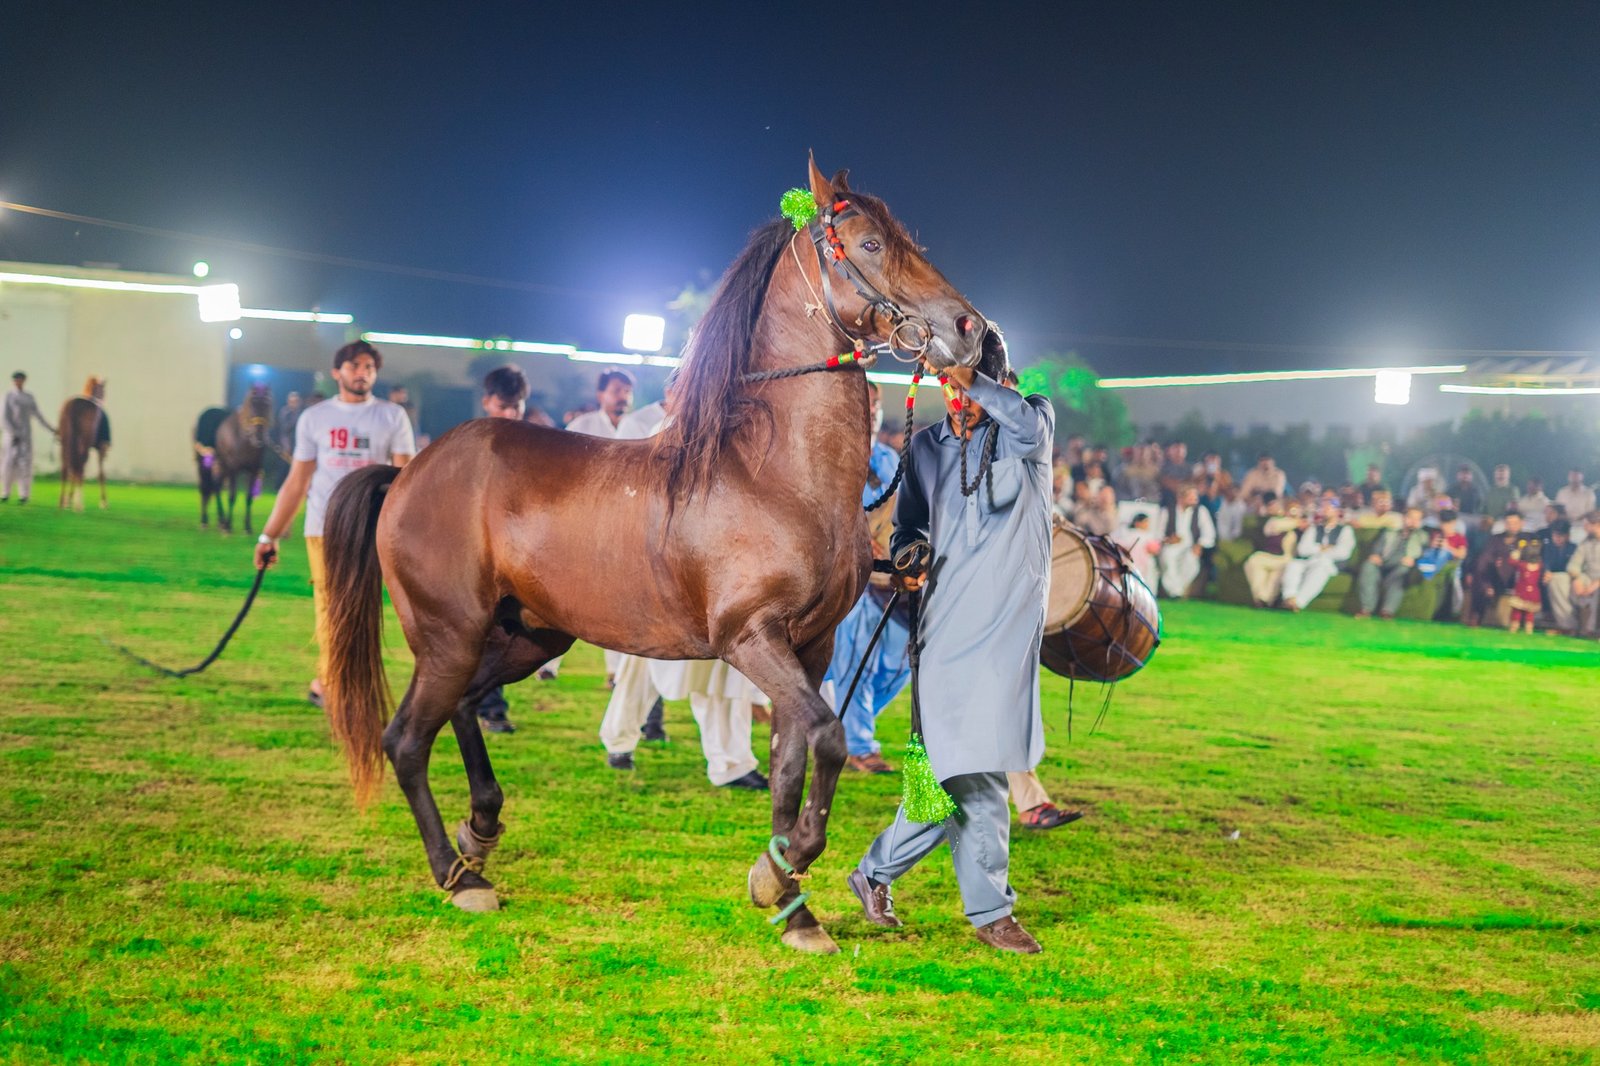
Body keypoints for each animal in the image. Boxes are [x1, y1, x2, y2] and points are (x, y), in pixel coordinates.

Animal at [58, 377, 110, 511]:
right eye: (104, 390)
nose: (103, 399)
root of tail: (73, 405)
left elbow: (74, 472)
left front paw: (69, 500)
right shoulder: (101, 449)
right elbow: (101, 474)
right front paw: (103, 502)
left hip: (65, 443)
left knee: (67, 469)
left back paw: (62, 503)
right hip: (83, 444)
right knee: (79, 468)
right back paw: (79, 505)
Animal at [194, 385, 273, 533]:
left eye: (267, 404)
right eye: (252, 404)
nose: (259, 436)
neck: (244, 440)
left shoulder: (254, 470)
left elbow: (249, 497)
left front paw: (247, 527)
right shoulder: (233, 469)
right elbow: (232, 495)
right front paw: (228, 526)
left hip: (221, 465)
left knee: (216, 486)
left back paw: (220, 520)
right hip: (204, 463)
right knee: (205, 487)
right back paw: (205, 521)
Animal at [318, 158, 985, 953]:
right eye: (869, 243)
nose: (970, 330)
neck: (775, 473)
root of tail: (409, 471)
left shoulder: (811, 647)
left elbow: (792, 758)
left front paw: (791, 901)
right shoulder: (750, 639)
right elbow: (825, 739)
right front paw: (779, 876)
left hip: (527, 635)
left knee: (466, 709)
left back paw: (481, 830)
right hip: (450, 635)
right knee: (408, 739)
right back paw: (459, 875)